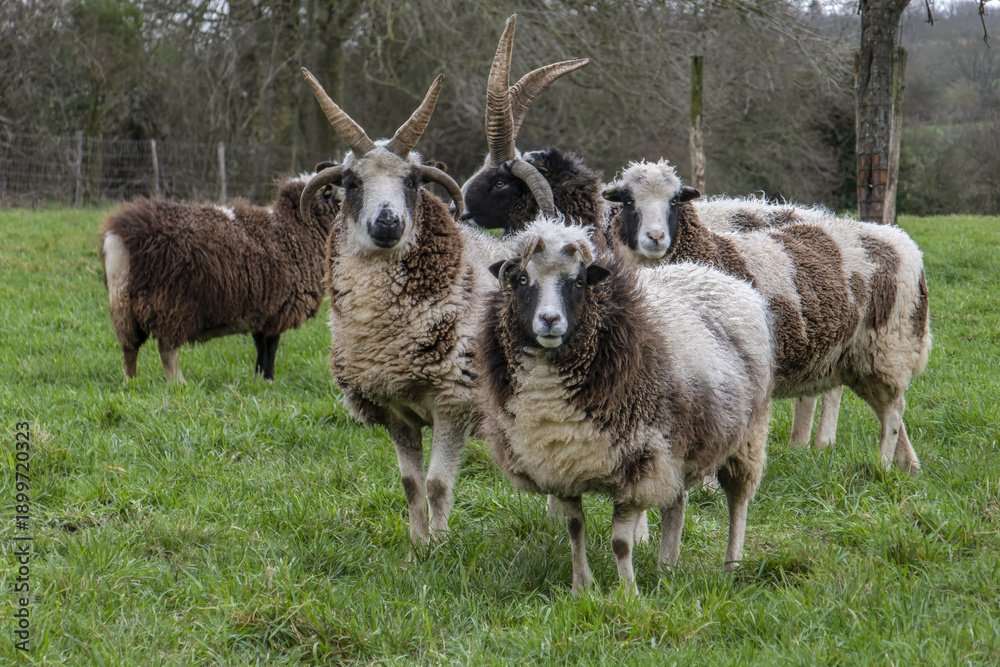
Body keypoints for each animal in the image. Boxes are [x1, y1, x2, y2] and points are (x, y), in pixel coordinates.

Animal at [100, 169, 341, 382]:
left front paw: (258, 379)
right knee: (167, 349)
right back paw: (178, 384)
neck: (294, 231)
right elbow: (270, 346)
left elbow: (260, 345)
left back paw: (131, 383)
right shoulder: (277, 309)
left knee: (129, 348)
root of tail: (121, 236)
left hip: (123, 304)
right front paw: (268, 379)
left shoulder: (260, 308)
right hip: (168, 303)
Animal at [298, 67, 503, 546]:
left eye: (411, 181)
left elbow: (437, 483)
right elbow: (410, 484)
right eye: (352, 183)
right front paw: (417, 545)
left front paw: (442, 546)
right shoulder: (394, 409)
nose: (388, 222)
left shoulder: (454, 403)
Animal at [477, 219, 773, 593]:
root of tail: (717, 275)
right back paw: (667, 567)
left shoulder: (637, 464)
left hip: (746, 437)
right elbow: (575, 529)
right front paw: (581, 587)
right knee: (676, 503)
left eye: (578, 282)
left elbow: (620, 542)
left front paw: (627, 593)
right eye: (521, 279)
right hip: (677, 445)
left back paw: (731, 565)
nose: (549, 320)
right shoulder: (561, 466)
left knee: (737, 501)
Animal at [603, 159, 932, 473]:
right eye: (628, 201)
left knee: (892, 411)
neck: (710, 253)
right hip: (856, 356)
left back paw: (881, 464)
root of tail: (904, 242)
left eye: (673, 201)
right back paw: (907, 464)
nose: (655, 237)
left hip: (889, 345)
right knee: (885, 405)